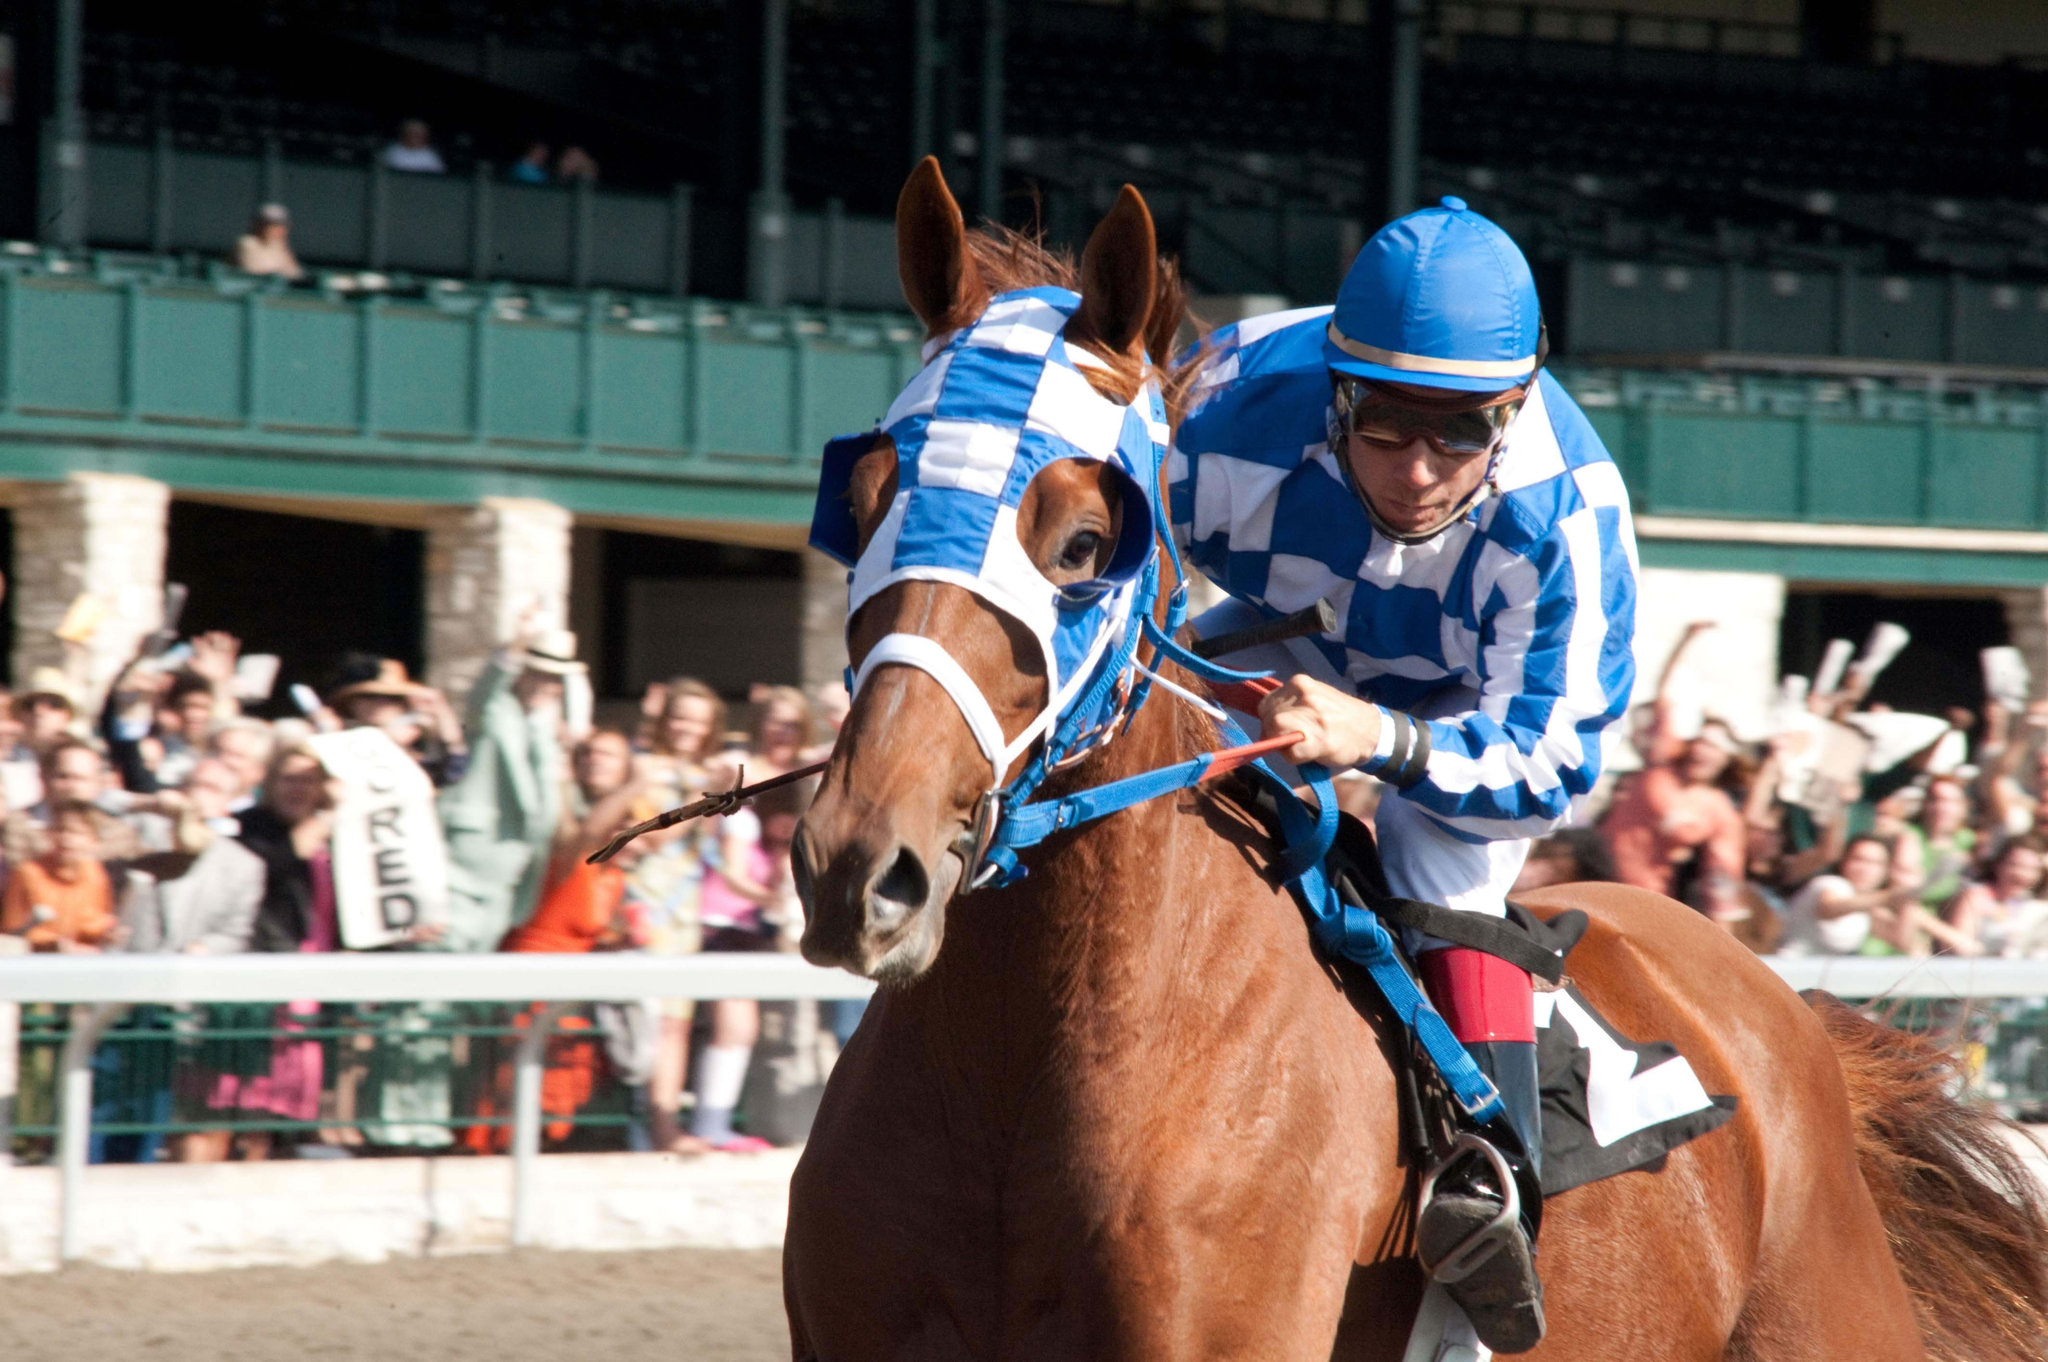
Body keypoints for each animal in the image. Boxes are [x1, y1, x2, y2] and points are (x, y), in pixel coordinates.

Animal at [778, 161, 2048, 1359]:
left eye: (1084, 544)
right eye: (864, 501)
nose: (858, 866)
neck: (1021, 1075)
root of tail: (1796, 1022)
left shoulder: (1568, 558)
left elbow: (1539, 738)